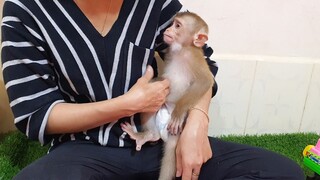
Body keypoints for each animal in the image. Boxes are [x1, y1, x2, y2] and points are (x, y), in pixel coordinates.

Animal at [121, 11, 214, 180]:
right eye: (172, 23)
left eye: (177, 25)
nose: (167, 30)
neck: (182, 49)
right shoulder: (170, 51)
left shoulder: (194, 58)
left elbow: (205, 81)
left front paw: (179, 111)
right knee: (151, 105)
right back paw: (148, 135)